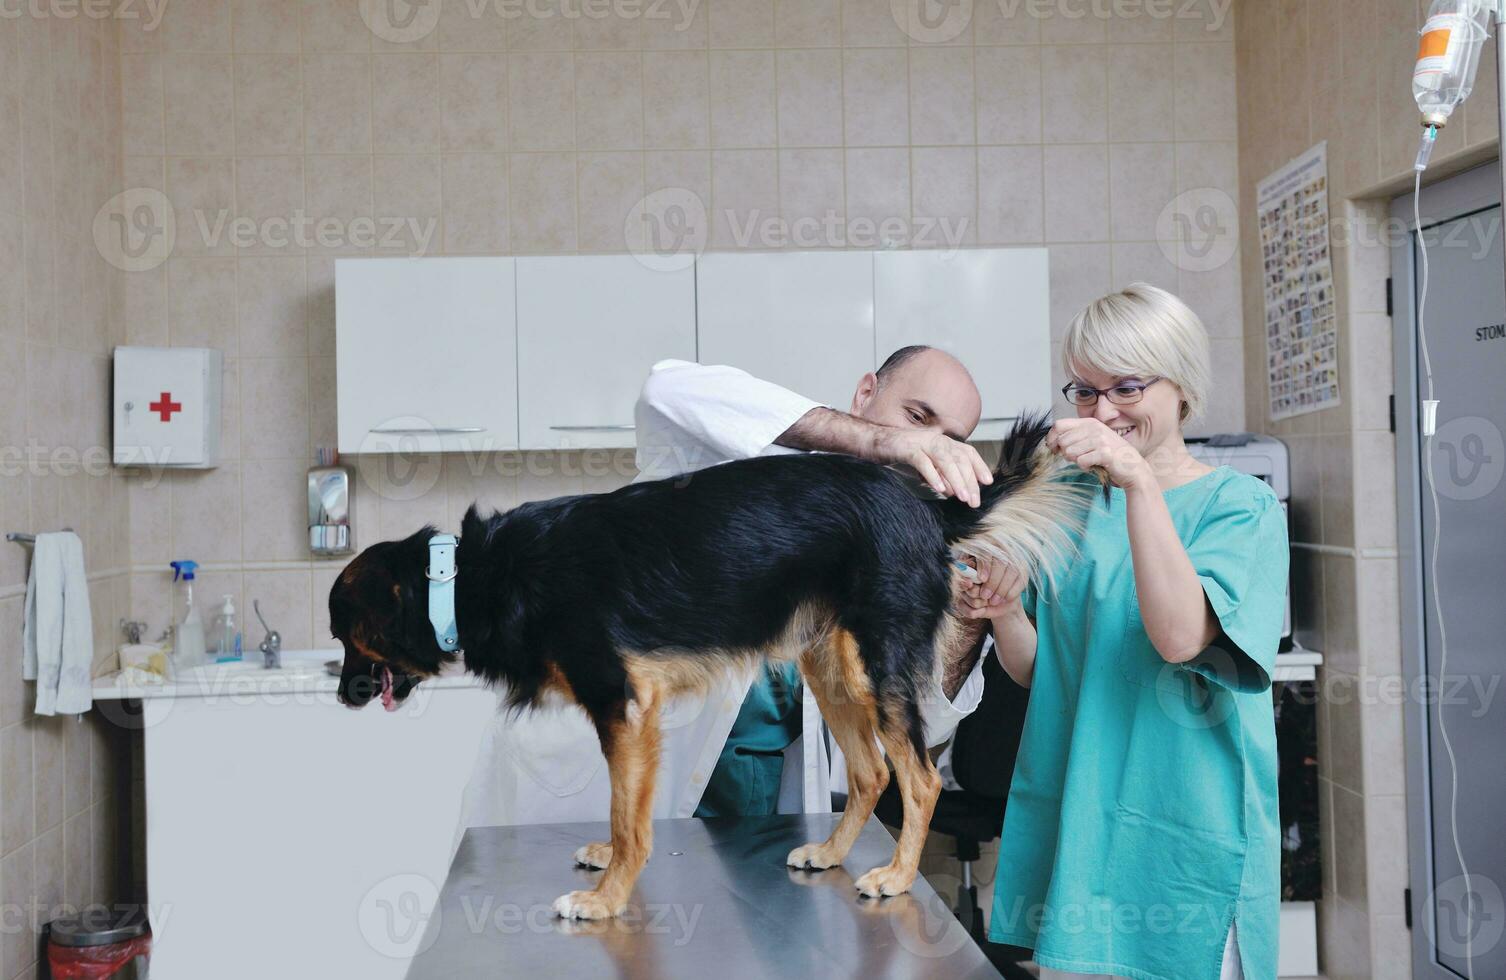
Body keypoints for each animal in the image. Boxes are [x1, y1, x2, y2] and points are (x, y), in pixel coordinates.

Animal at [329, 415, 1090, 921]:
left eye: (344, 636)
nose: (339, 698)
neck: (468, 577)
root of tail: (928, 509)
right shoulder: (630, 715)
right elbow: (626, 809)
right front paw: (608, 868)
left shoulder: (623, 705)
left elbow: (630, 818)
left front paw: (607, 898)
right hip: (832, 668)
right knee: (873, 774)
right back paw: (831, 852)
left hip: (881, 666)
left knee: (922, 779)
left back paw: (897, 876)